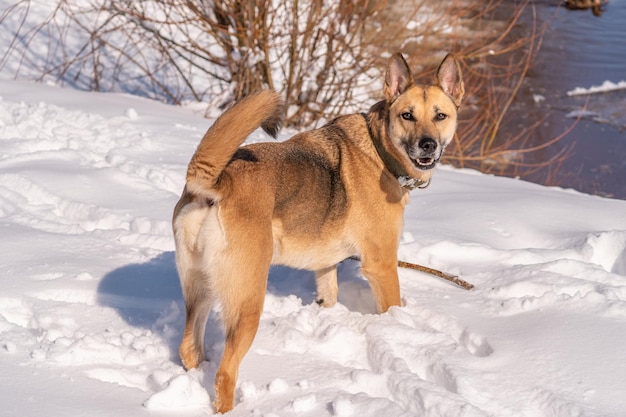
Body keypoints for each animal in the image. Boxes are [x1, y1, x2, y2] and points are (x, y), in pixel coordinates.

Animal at [173, 52, 460, 412]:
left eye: (440, 116)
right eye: (407, 115)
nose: (427, 145)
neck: (380, 151)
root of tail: (218, 182)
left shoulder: (326, 266)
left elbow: (328, 295)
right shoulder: (381, 265)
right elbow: (392, 306)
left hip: (201, 289)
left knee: (188, 348)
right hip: (247, 301)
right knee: (225, 373)